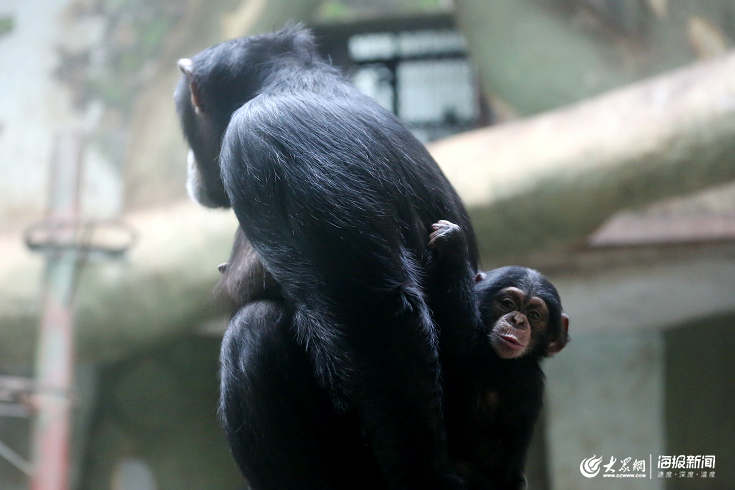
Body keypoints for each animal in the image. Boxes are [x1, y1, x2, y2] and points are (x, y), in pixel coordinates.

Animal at [428, 222, 572, 490]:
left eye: (534, 316)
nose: (518, 320)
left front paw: (454, 244)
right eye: (507, 303)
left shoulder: (505, 368)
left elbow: (462, 340)